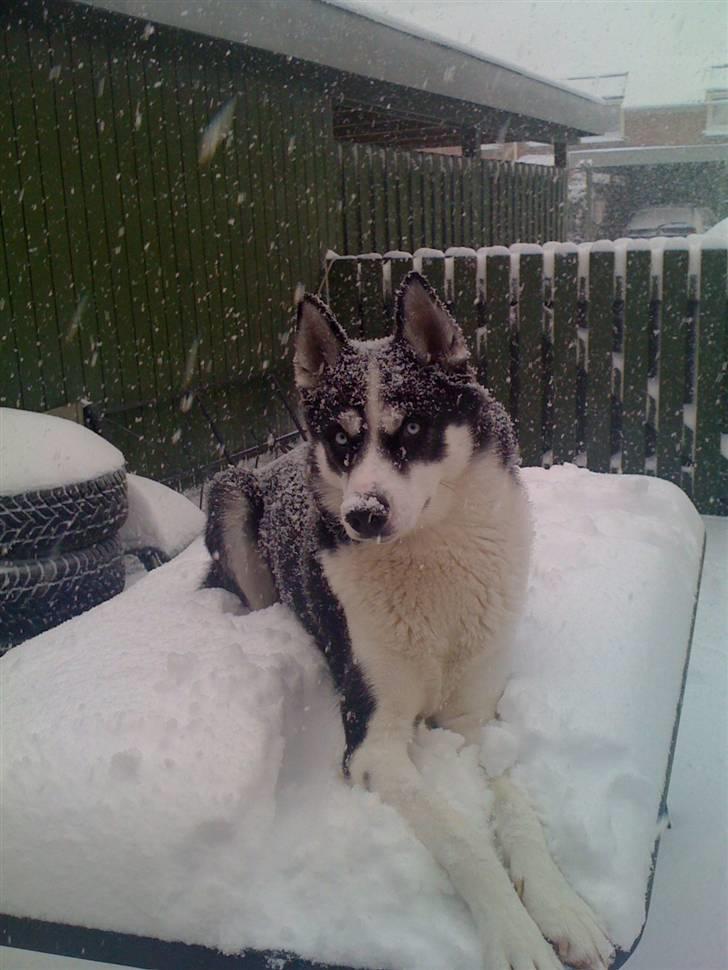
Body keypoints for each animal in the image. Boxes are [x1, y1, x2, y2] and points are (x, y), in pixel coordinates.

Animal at [203, 272, 616, 968]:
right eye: (343, 441)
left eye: (414, 427)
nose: (362, 515)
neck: (429, 561)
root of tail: (273, 459)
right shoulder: (374, 740)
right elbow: (460, 836)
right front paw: (515, 934)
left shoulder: (476, 720)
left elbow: (516, 808)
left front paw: (561, 906)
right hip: (229, 494)